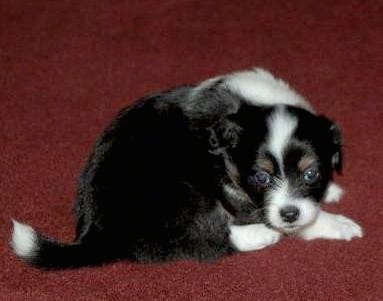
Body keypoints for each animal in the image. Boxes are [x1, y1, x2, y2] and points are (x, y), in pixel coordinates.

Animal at [9, 68, 364, 268]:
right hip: (180, 193)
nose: (289, 213)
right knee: (191, 242)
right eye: (261, 177)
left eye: (311, 173)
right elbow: (284, 220)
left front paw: (330, 191)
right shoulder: (233, 189)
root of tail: (96, 233)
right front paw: (337, 224)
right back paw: (259, 236)